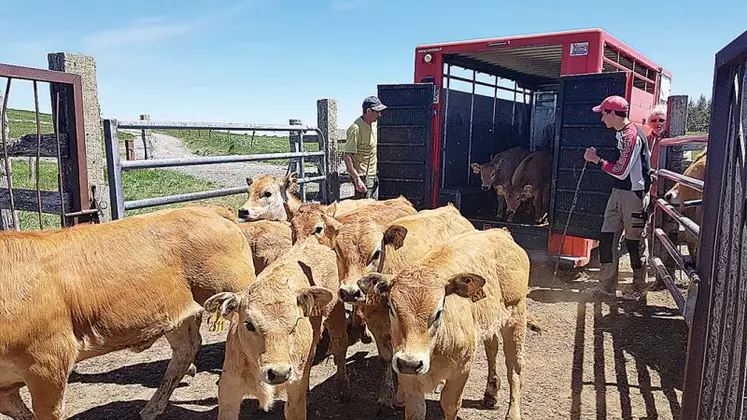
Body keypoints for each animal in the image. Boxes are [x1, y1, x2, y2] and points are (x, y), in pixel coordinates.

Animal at [203, 238, 346, 418]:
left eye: (295, 324)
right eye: (249, 324)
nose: (279, 373)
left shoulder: (295, 393)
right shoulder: (229, 389)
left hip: (336, 316)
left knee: (340, 348)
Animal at [358, 226, 528, 420]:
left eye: (439, 311)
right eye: (392, 308)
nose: (410, 363)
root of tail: (500, 231)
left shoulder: (461, 371)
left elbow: (450, 405)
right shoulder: (407, 374)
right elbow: (415, 410)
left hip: (516, 317)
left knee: (514, 367)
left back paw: (513, 412)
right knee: (492, 347)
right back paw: (491, 393)